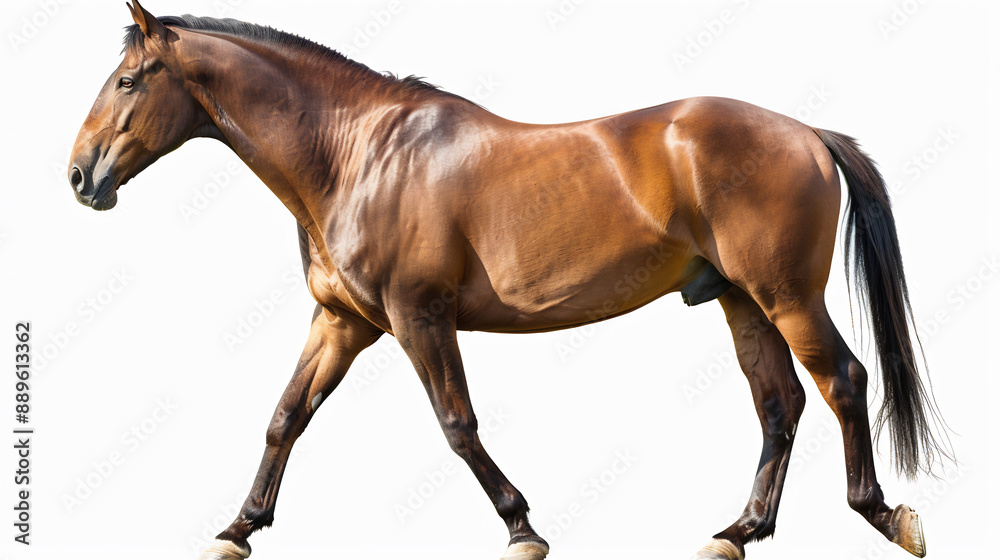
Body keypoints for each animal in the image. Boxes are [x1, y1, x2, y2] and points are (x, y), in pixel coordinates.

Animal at [68, 3, 949, 559]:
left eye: (128, 81)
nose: (81, 176)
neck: (358, 153)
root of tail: (807, 132)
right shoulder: (343, 321)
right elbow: (286, 417)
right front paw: (239, 528)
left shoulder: (418, 317)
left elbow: (457, 425)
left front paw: (522, 528)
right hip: (740, 302)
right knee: (779, 405)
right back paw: (737, 532)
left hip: (785, 297)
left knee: (842, 382)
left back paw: (884, 516)